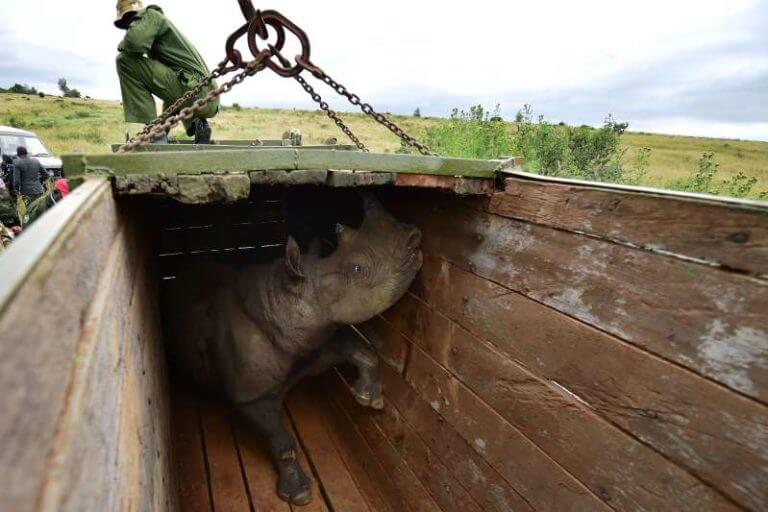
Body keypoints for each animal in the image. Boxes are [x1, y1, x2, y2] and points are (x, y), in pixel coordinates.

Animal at [164, 193, 422, 505]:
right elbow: (283, 442)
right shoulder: (251, 395)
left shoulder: (313, 342)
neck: (281, 300)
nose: (414, 237)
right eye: (357, 269)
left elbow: (360, 350)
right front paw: (298, 494)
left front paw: (367, 399)